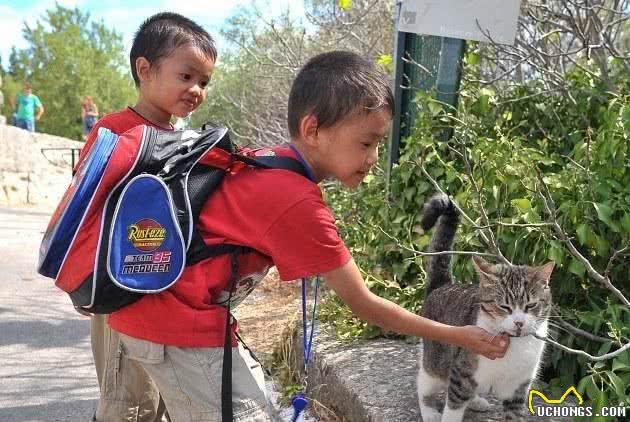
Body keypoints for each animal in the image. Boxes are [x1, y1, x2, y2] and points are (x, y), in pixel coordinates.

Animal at [418, 193, 556, 420]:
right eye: (504, 306)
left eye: (531, 305)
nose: (519, 323)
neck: (514, 345)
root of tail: (443, 285)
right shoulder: (462, 372)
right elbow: (453, 407)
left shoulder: (518, 388)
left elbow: (514, 414)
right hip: (437, 358)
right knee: (425, 381)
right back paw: (429, 410)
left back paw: (475, 401)